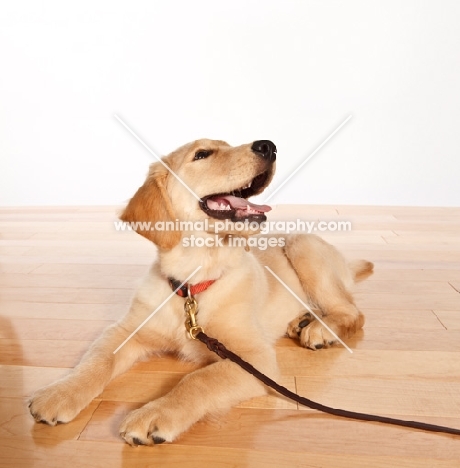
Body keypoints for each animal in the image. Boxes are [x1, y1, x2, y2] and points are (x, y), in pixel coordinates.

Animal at [28, 138, 372, 446]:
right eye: (202, 154)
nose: (269, 146)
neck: (194, 282)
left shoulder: (255, 358)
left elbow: (198, 380)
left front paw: (156, 413)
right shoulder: (125, 330)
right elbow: (97, 360)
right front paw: (59, 393)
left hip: (303, 245)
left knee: (353, 313)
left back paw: (320, 329)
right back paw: (301, 321)